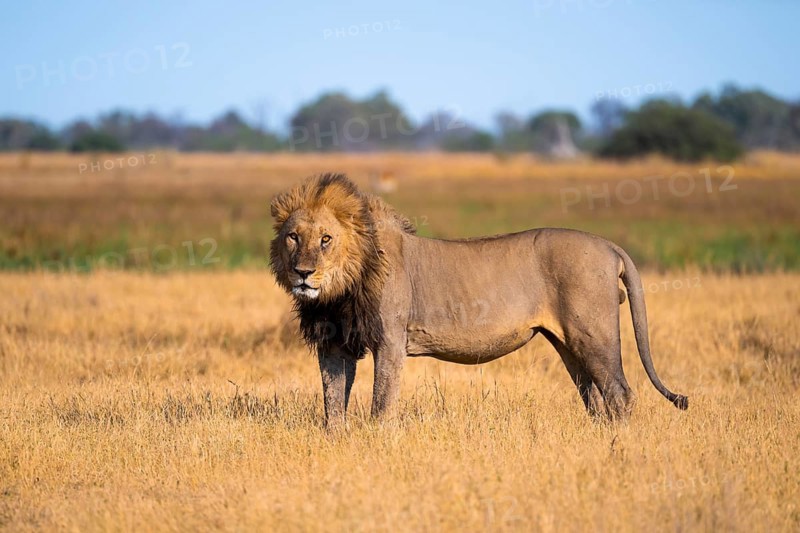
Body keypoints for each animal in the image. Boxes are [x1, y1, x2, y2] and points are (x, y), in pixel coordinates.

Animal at [270, 173, 687, 428]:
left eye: (326, 239)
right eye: (293, 237)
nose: (303, 273)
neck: (338, 291)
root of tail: (608, 245)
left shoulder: (389, 340)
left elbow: (381, 402)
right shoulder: (334, 344)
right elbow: (332, 402)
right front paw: (335, 441)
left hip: (594, 335)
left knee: (619, 393)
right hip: (568, 343)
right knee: (595, 397)